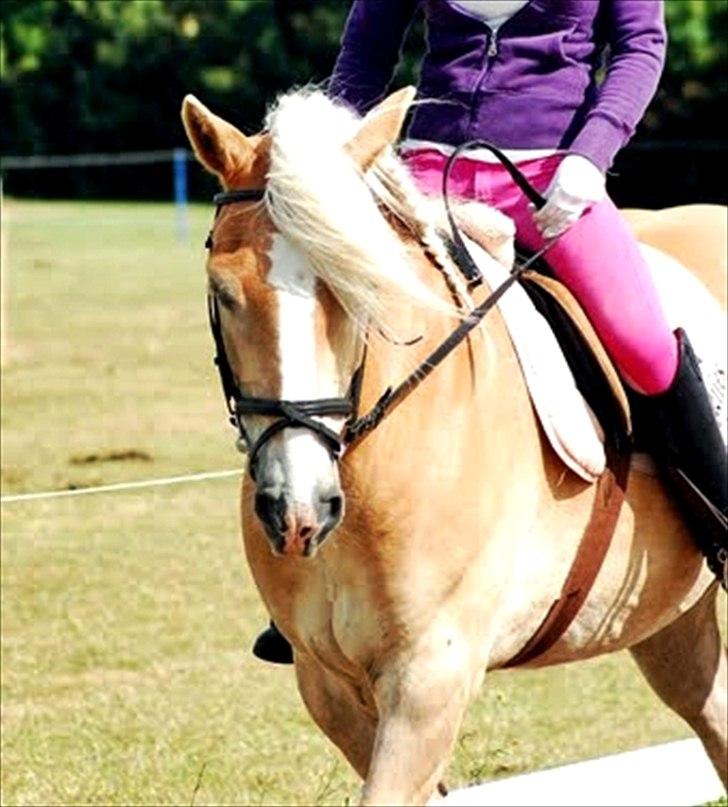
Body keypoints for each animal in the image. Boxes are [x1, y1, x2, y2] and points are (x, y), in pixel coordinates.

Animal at [181, 86, 727, 806]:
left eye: (358, 288)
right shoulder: (326, 682)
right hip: (673, 620)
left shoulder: (429, 678)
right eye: (223, 293)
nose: (298, 510)